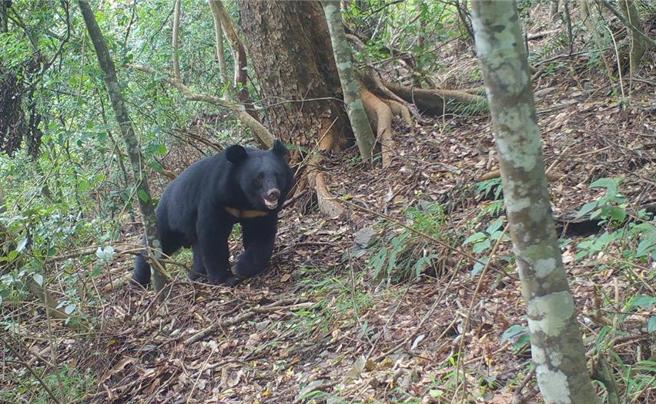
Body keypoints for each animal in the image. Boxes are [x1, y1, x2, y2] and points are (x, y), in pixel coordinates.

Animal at [133, 140, 292, 286]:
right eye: (259, 177)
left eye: (278, 175)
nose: (273, 193)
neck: (245, 199)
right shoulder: (217, 198)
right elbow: (213, 235)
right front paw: (226, 278)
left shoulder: (257, 213)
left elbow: (260, 235)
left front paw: (241, 267)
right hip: (169, 217)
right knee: (156, 245)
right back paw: (138, 281)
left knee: (197, 249)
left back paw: (196, 275)